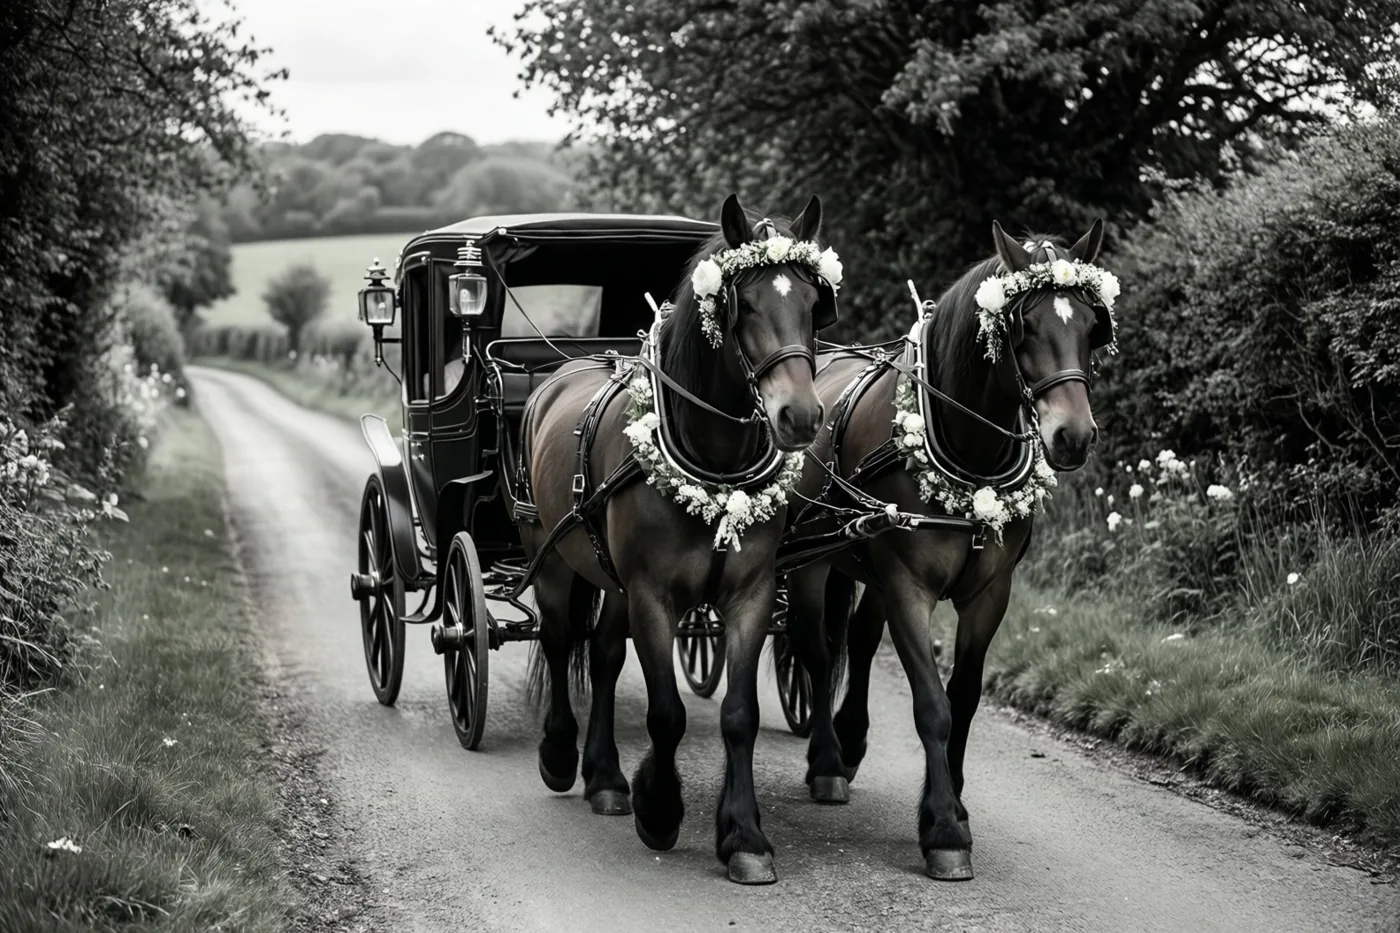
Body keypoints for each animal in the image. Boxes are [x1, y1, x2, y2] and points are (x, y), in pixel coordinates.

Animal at [518, 193, 841, 885]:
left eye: (812, 301)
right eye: (743, 304)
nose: (801, 417)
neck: (714, 465)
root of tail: (560, 372)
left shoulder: (750, 594)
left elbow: (740, 716)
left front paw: (743, 836)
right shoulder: (653, 596)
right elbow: (667, 712)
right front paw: (661, 809)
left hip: (608, 577)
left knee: (603, 657)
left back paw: (604, 778)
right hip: (551, 557)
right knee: (558, 643)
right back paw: (560, 755)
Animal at [784, 219, 1117, 881]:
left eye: (1093, 326)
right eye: (1022, 325)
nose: (1072, 436)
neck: (970, 458)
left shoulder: (990, 593)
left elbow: (963, 699)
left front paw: (955, 804)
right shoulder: (909, 588)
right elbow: (931, 706)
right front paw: (942, 829)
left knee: (859, 640)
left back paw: (851, 739)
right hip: (812, 564)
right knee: (817, 650)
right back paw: (829, 761)